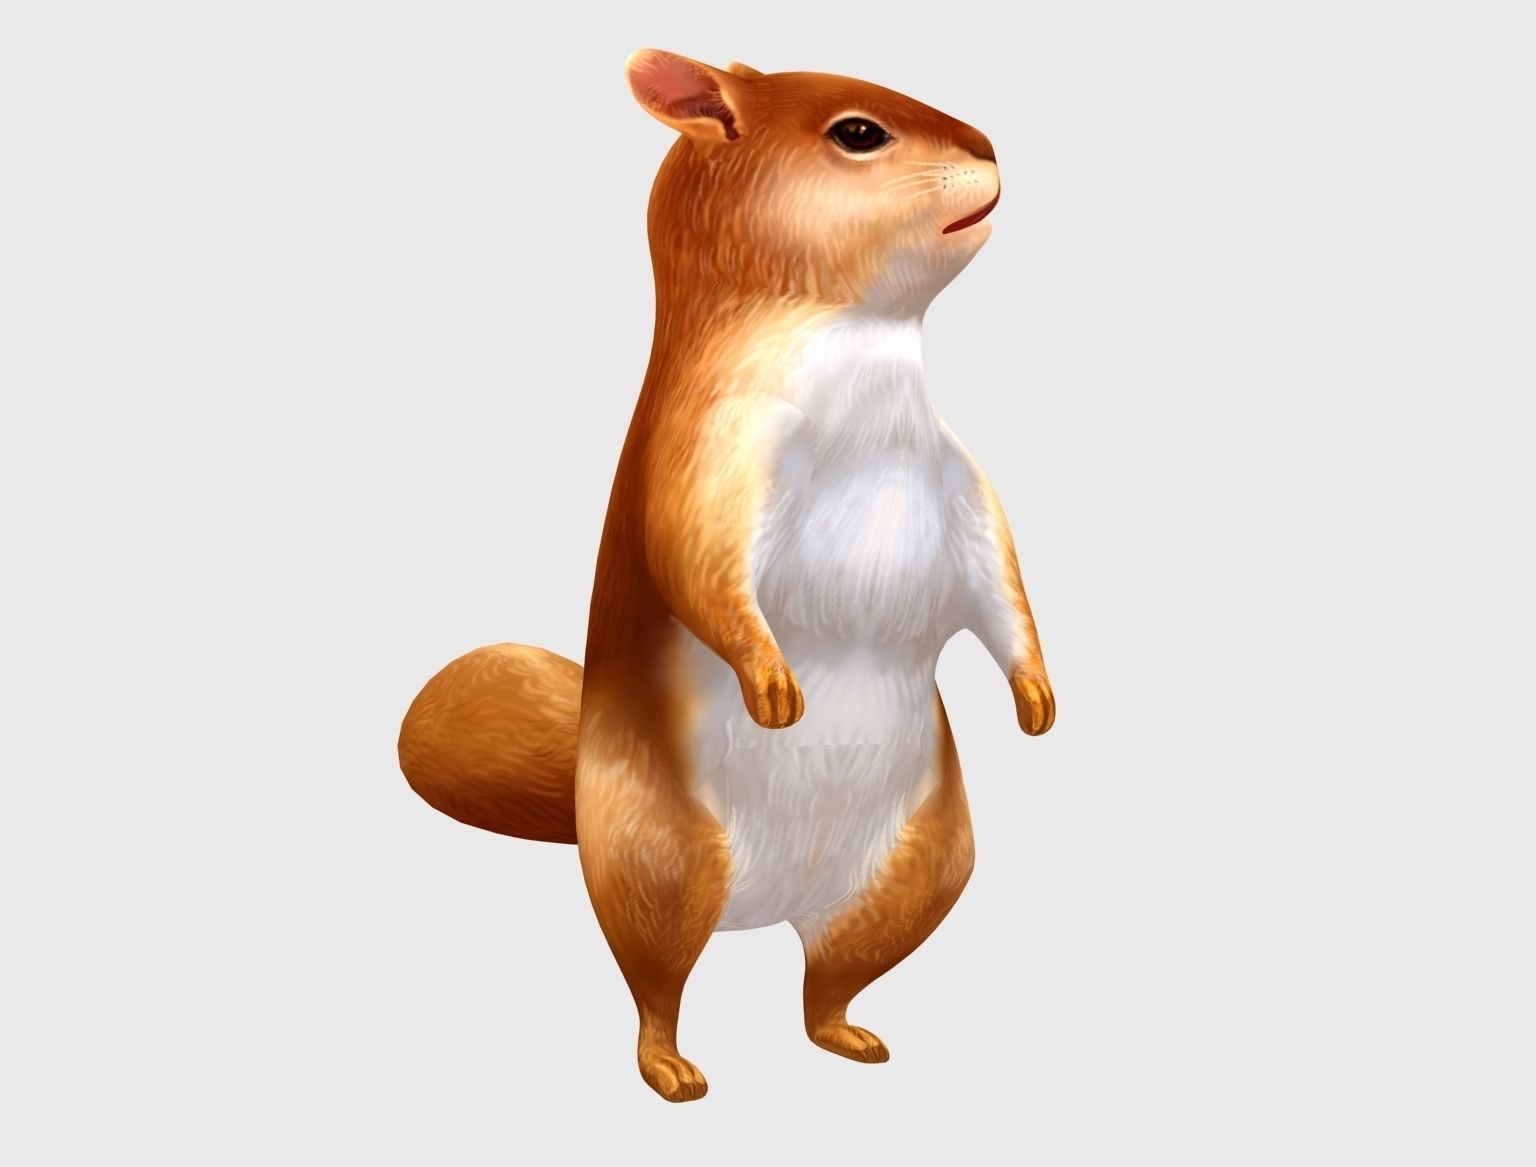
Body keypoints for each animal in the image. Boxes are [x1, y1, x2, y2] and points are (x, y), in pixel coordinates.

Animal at [398, 49, 1055, 1103]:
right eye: (858, 132)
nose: (991, 147)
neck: (857, 347)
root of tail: (769, 903)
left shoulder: (960, 477)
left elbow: (1001, 577)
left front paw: (1037, 698)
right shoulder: (709, 452)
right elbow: (701, 565)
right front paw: (773, 684)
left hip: (923, 867)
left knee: (826, 981)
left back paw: (849, 1036)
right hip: (662, 858)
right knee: (655, 984)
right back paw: (670, 1068)